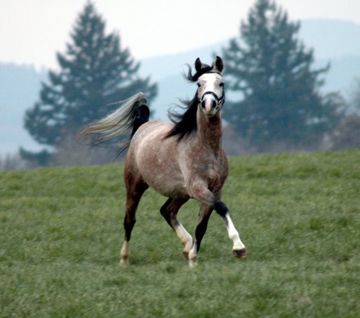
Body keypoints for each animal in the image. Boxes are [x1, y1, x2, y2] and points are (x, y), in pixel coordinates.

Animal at [81, 56, 245, 266]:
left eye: (221, 83)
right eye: (199, 83)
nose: (209, 105)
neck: (207, 148)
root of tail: (142, 127)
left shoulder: (215, 189)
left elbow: (202, 226)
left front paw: (193, 260)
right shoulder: (198, 187)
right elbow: (221, 207)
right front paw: (238, 247)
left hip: (180, 193)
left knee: (167, 211)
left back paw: (186, 246)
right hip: (135, 187)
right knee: (129, 220)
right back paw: (124, 259)